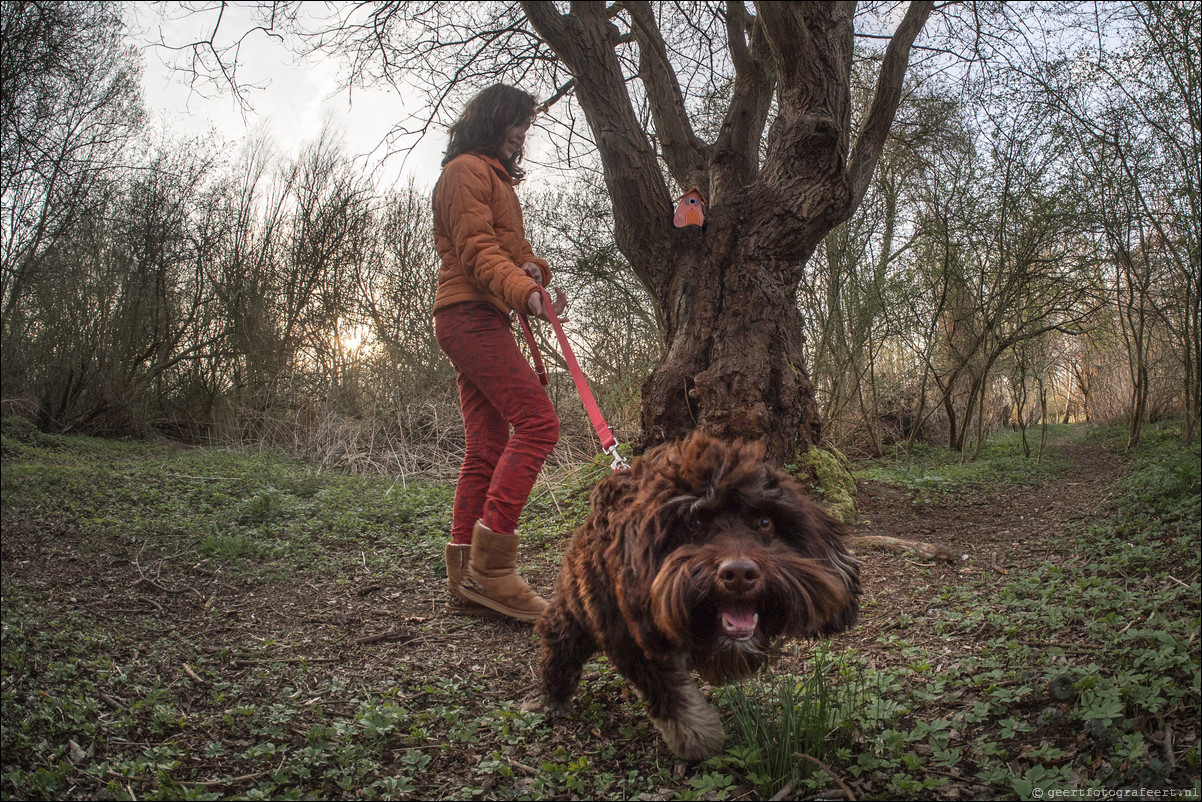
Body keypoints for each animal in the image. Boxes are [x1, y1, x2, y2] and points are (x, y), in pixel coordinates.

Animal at [531, 432, 860, 759]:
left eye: (766, 522)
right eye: (694, 522)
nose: (739, 574)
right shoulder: (631, 639)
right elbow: (669, 693)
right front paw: (698, 738)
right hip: (579, 610)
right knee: (559, 637)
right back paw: (555, 695)